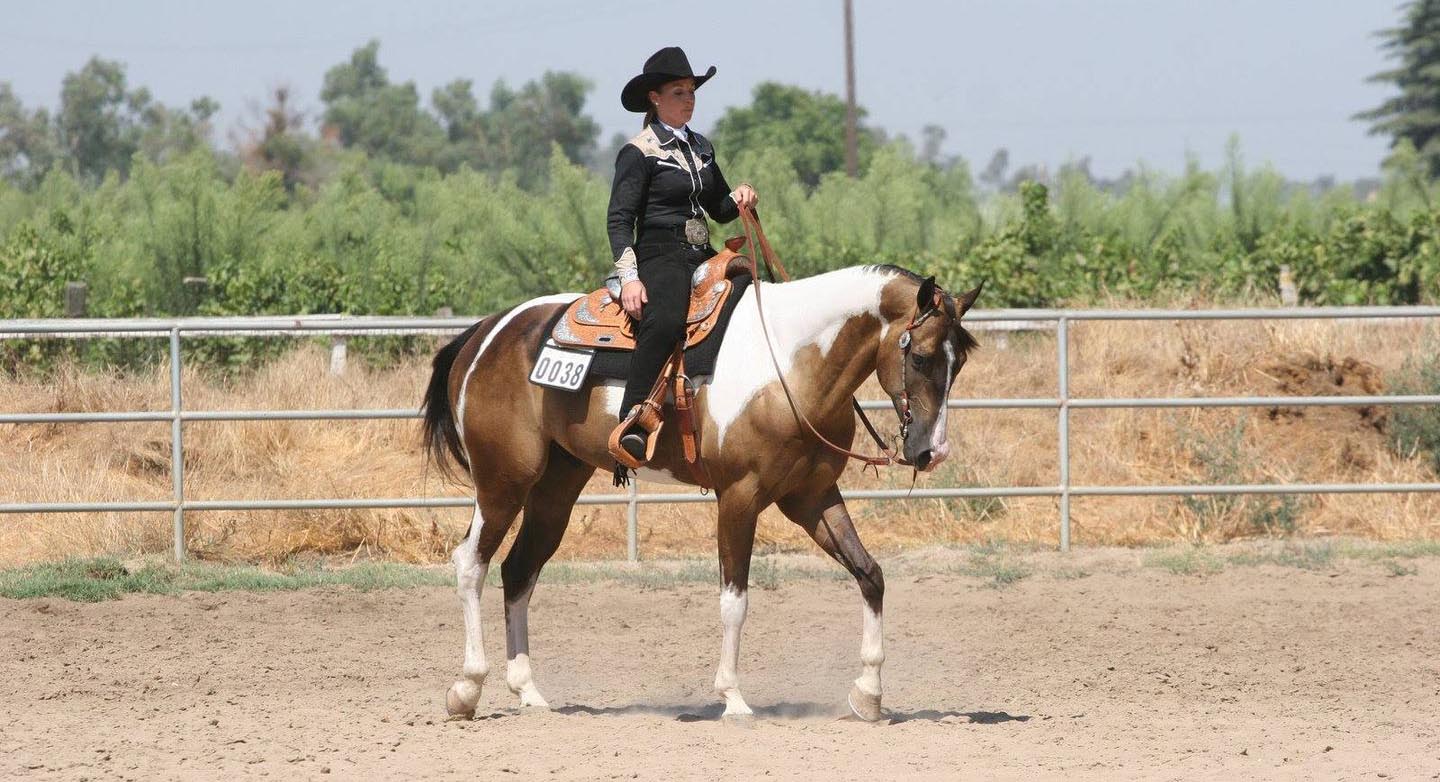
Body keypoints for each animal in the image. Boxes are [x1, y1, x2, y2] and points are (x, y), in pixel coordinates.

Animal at [417, 256, 979, 722]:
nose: (932, 452)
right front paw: (733, 698)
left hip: (556, 488)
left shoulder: (811, 496)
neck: (789, 362)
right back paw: (467, 690)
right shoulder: (740, 497)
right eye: (921, 357)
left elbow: (870, 574)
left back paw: (529, 692)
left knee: (518, 571)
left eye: (960, 363)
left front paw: (868, 693)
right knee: (471, 563)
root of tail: (485, 333)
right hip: (502, 482)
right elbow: (735, 600)